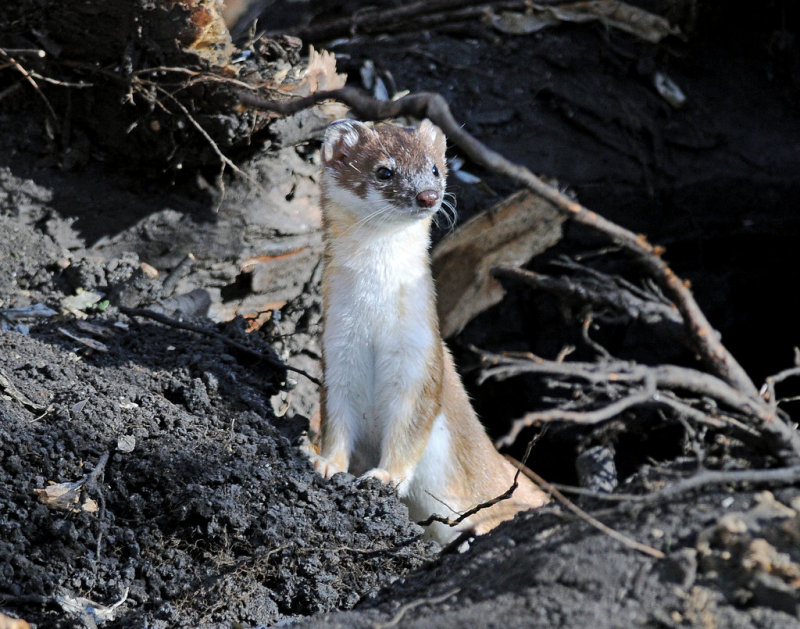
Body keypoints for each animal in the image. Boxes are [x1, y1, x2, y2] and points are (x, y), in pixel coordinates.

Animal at [312, 120, 552, 544]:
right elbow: (336, 418)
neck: (374, 325)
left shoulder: (420, 354)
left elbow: (411, 426)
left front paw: (383, 476)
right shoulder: (338, 351)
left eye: (436, 168)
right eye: (384, 171)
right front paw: (327, 464)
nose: (427, 195)